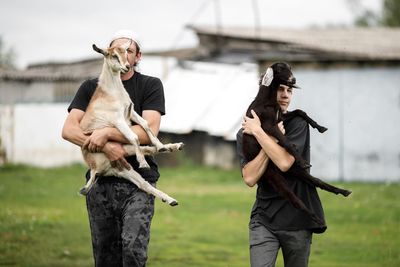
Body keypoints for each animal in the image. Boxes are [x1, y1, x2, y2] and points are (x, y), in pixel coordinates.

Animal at [79, 40, 182, 206]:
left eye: (127, 52)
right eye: (113, 55)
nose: (127, 66)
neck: (112, 92)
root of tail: (96, 169)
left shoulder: (131, 111)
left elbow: (145, 124)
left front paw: (160, 145)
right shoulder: (118, 120)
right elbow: (135, 136)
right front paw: (144, 163)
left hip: (124, 157)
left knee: (144, 177)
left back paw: (172, 149)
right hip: (122, 163)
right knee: (143, 176)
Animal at [241, 62, 350, 224]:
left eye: (290, 68)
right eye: (280, 69)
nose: (293, 79)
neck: (268, 100)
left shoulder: (281, 118)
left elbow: (300, 111)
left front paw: (320, 127)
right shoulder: (269, 125)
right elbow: (286, 141)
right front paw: (301, 160)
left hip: (295, 171)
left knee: (317, 181)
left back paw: (342, 191)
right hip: (275, 177)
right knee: (295, 200)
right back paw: (316, 218)